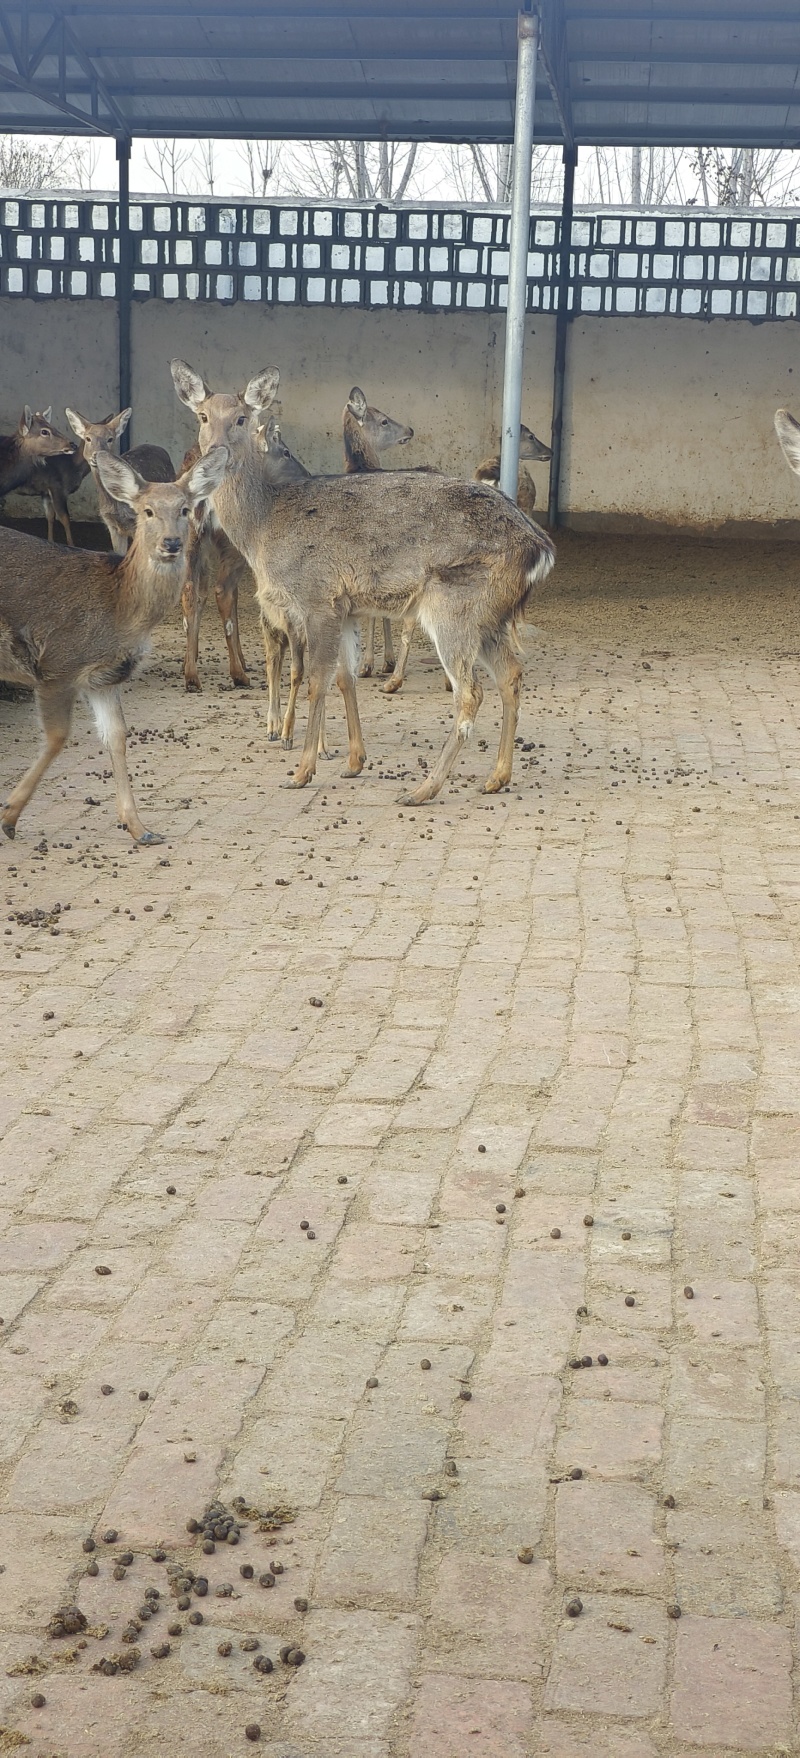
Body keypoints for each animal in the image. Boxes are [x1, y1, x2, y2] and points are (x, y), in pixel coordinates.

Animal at [0, 444, 227, 844]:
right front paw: (9, 816)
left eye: (185, 509)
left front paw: (140, 828)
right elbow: (57, 737)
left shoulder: (103, 679)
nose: (172, 543)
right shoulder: (58, 663)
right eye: (147, 511)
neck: (119, 609)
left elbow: (117, 736)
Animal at [65, 406, 249, 692]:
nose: (95, 456)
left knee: (194, 589)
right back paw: (235, 673)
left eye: (110, 439)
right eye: (87, 438)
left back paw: (192, 673)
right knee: (219, 590)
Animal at [171, 358, 556, 806]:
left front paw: (302, 771)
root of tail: (540, 550)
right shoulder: (347, 607)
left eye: (241, 418)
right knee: (511, 675)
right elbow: (345, 676)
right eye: (202, 416)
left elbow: (317, 681)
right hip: (493, 614)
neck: (262, 528)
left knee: (470, 692)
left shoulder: (317, 596)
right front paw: (355, 761)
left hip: (455, 605)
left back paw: (423, 789)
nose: (216, 450)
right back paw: (496, 777)